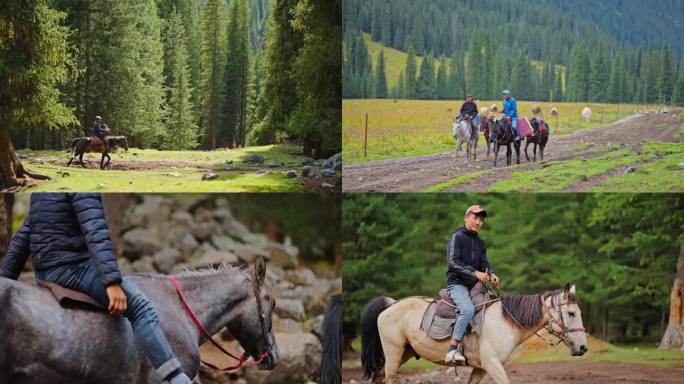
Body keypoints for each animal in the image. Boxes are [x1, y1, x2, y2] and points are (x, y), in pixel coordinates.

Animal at [358, 282, 588, 384]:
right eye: (571, 313)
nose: (583, 347)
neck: (504, 322)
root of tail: (391, 305)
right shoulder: (493, 365)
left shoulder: (480, 368)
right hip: (394, 354)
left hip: (403, 353)